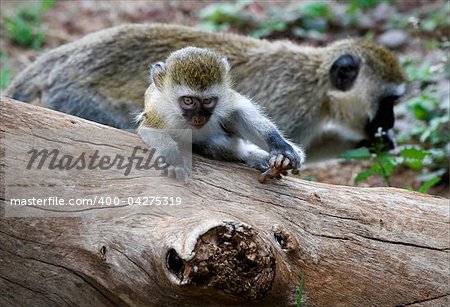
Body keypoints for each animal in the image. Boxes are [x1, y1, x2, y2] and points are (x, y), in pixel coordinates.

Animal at [136, 47, 306, 183]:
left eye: (208, 101)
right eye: (188, 100)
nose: (199, 118)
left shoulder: (226, 98)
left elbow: (241, 113)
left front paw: (281, 148)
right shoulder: (158, 109)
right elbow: (149, 130)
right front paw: (173, 160)